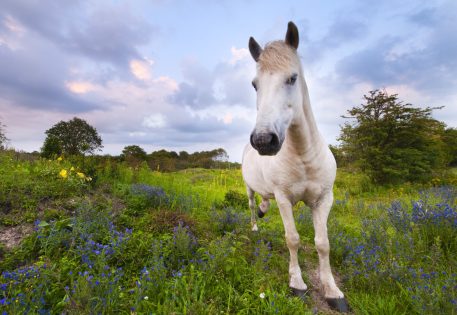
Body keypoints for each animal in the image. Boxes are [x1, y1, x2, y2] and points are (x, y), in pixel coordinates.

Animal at [242, 22, 350, 314]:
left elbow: (323, 244)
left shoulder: (323, 199)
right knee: (252, 204)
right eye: (255, 84)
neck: (303, 156)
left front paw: (332, 291)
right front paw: (297, 283)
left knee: (263, 202)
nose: (263, 140)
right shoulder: (284, 198)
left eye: (292, 78)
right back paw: (255, 224)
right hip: (249, 188)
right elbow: (293, 239)